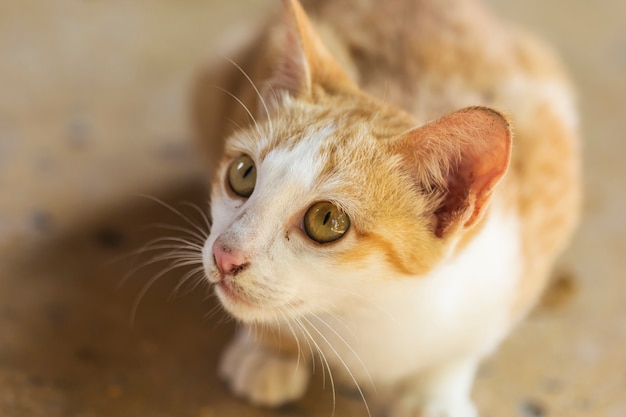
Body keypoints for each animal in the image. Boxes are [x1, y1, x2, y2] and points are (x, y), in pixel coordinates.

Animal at [191, 0, 580, 416]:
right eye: (243, 173)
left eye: (326, 220)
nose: (226, 254)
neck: (366, 311)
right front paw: (269, 350)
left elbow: (461, 350)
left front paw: (435, 396)